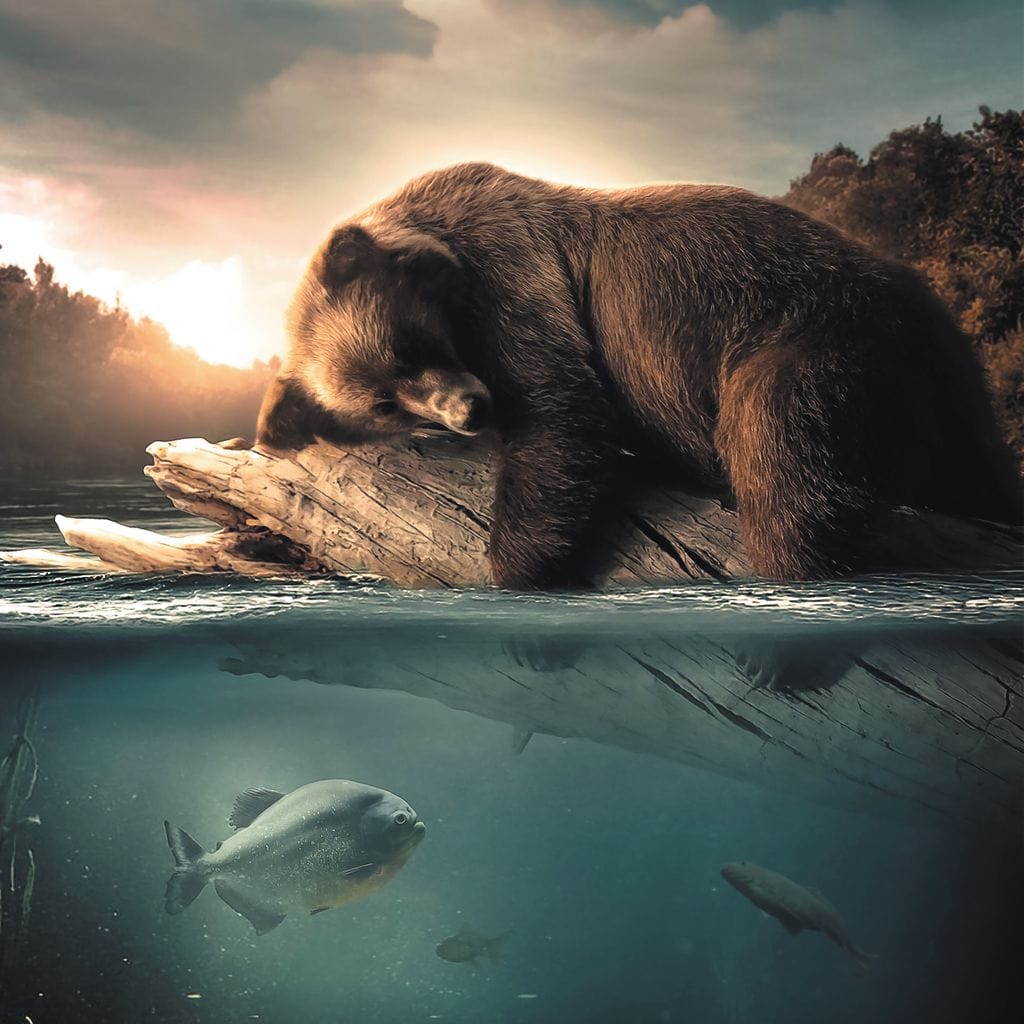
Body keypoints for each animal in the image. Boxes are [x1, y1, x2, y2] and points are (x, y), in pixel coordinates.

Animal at [255, 161, 1021, 590]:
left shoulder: (514, 278)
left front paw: (515, 569)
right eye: (386, 406)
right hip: (946, 380)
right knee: (973, 469)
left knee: (781, 460)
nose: (469, 411)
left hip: (806, 339)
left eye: (410, 344)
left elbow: (560, 410)